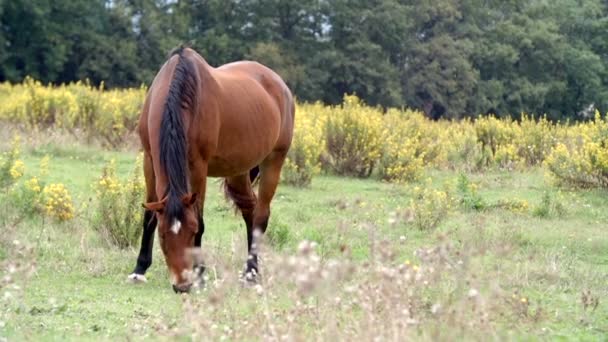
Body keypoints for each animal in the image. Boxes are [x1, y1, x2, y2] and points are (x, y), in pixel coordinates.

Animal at [126, 45, 294, 292]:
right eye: (163, 236)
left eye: (192, 231)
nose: (182, 285)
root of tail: (280, 84)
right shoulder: (149, 159)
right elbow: (149, 216)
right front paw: (139, 269)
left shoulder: (198, 167)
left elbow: (201, 218)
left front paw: (200, 274)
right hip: (238, 172)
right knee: (250, 211)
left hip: (274, 159)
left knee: (261, 215)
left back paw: (251, 273)